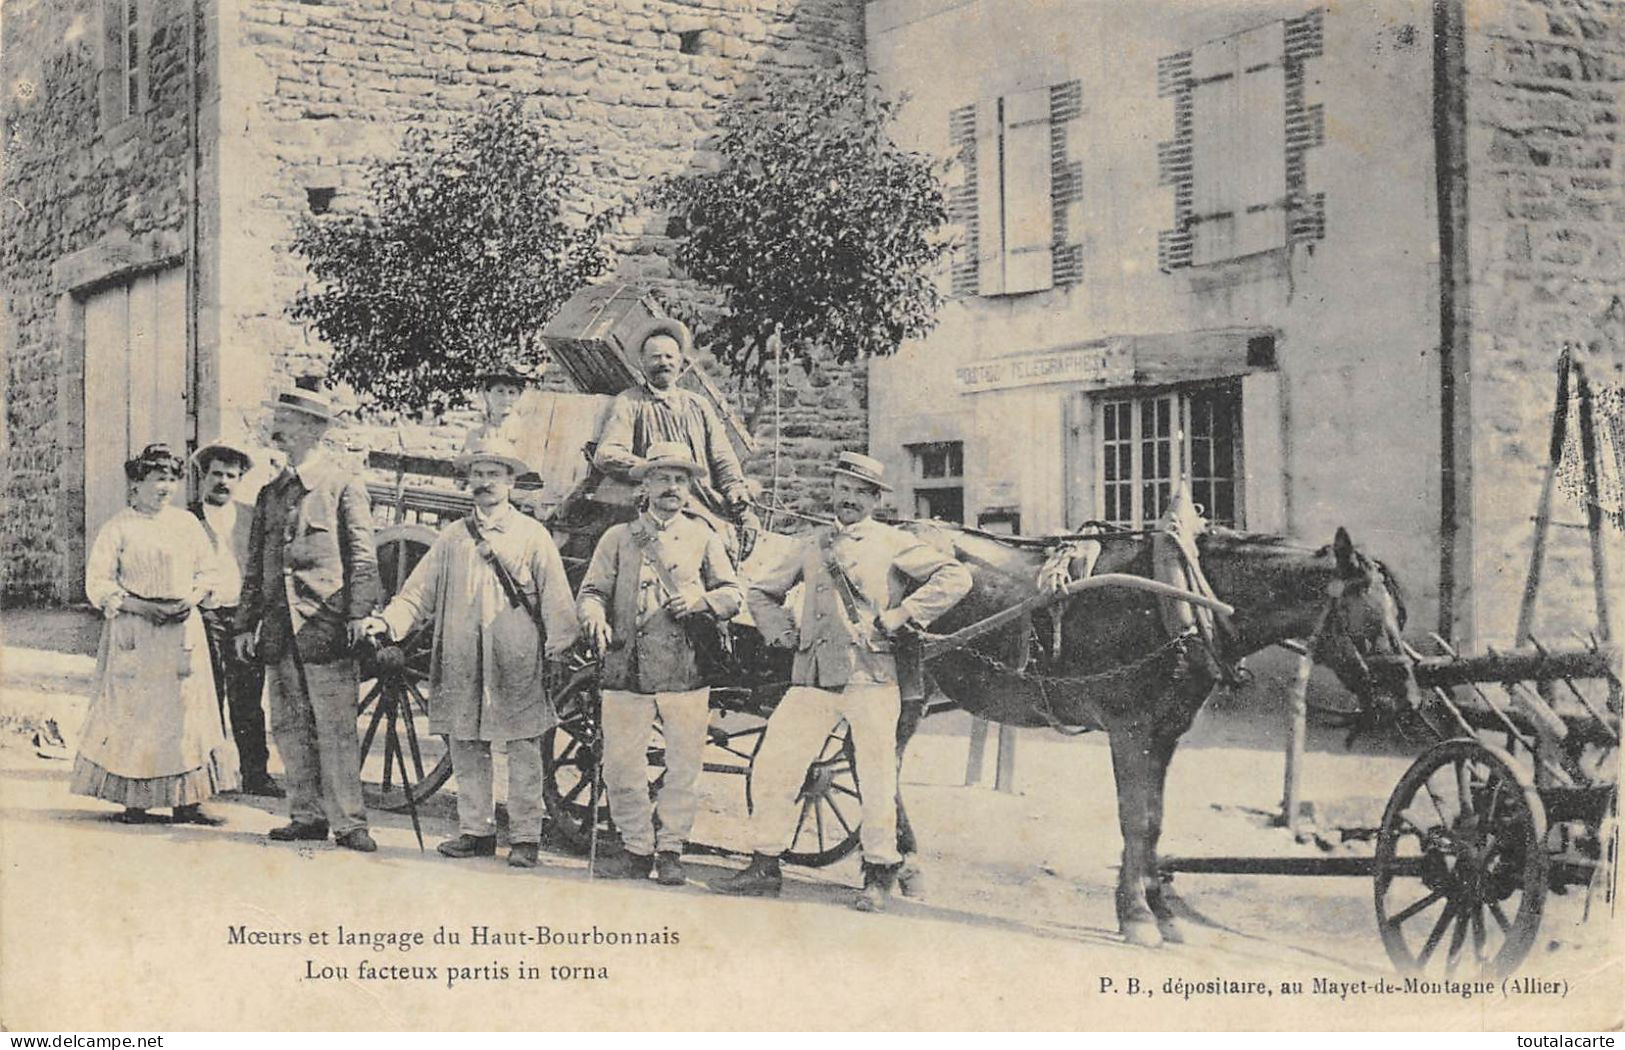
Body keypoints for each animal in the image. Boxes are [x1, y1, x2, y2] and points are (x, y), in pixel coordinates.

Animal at [897, 523, 1417, 949]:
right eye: (1370, 619)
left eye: (1400, 617)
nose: (1408, 699)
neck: (1183, 601)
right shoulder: (1130, 730)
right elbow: (1136, 820)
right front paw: (1137, 916)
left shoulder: (1164, 733)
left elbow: (1156, 822)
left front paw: (1162, 913)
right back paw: (900, 865)